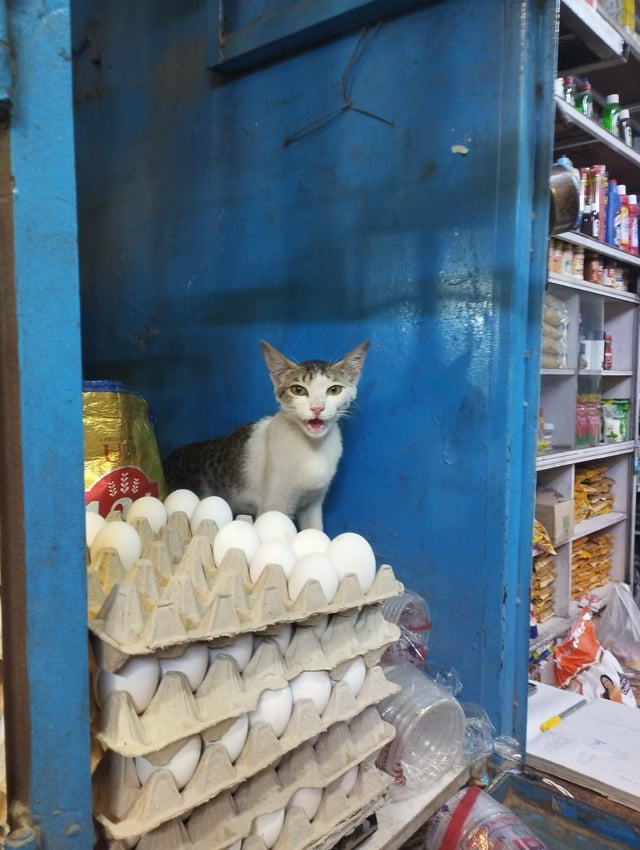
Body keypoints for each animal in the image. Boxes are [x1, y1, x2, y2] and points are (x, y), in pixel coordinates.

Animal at [163, 339, 369, 531]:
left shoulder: (312, 504)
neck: (313, 448)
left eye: (334, 390)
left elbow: (315, 531)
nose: (317, 408)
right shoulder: (273, 506)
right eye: (298, 390)